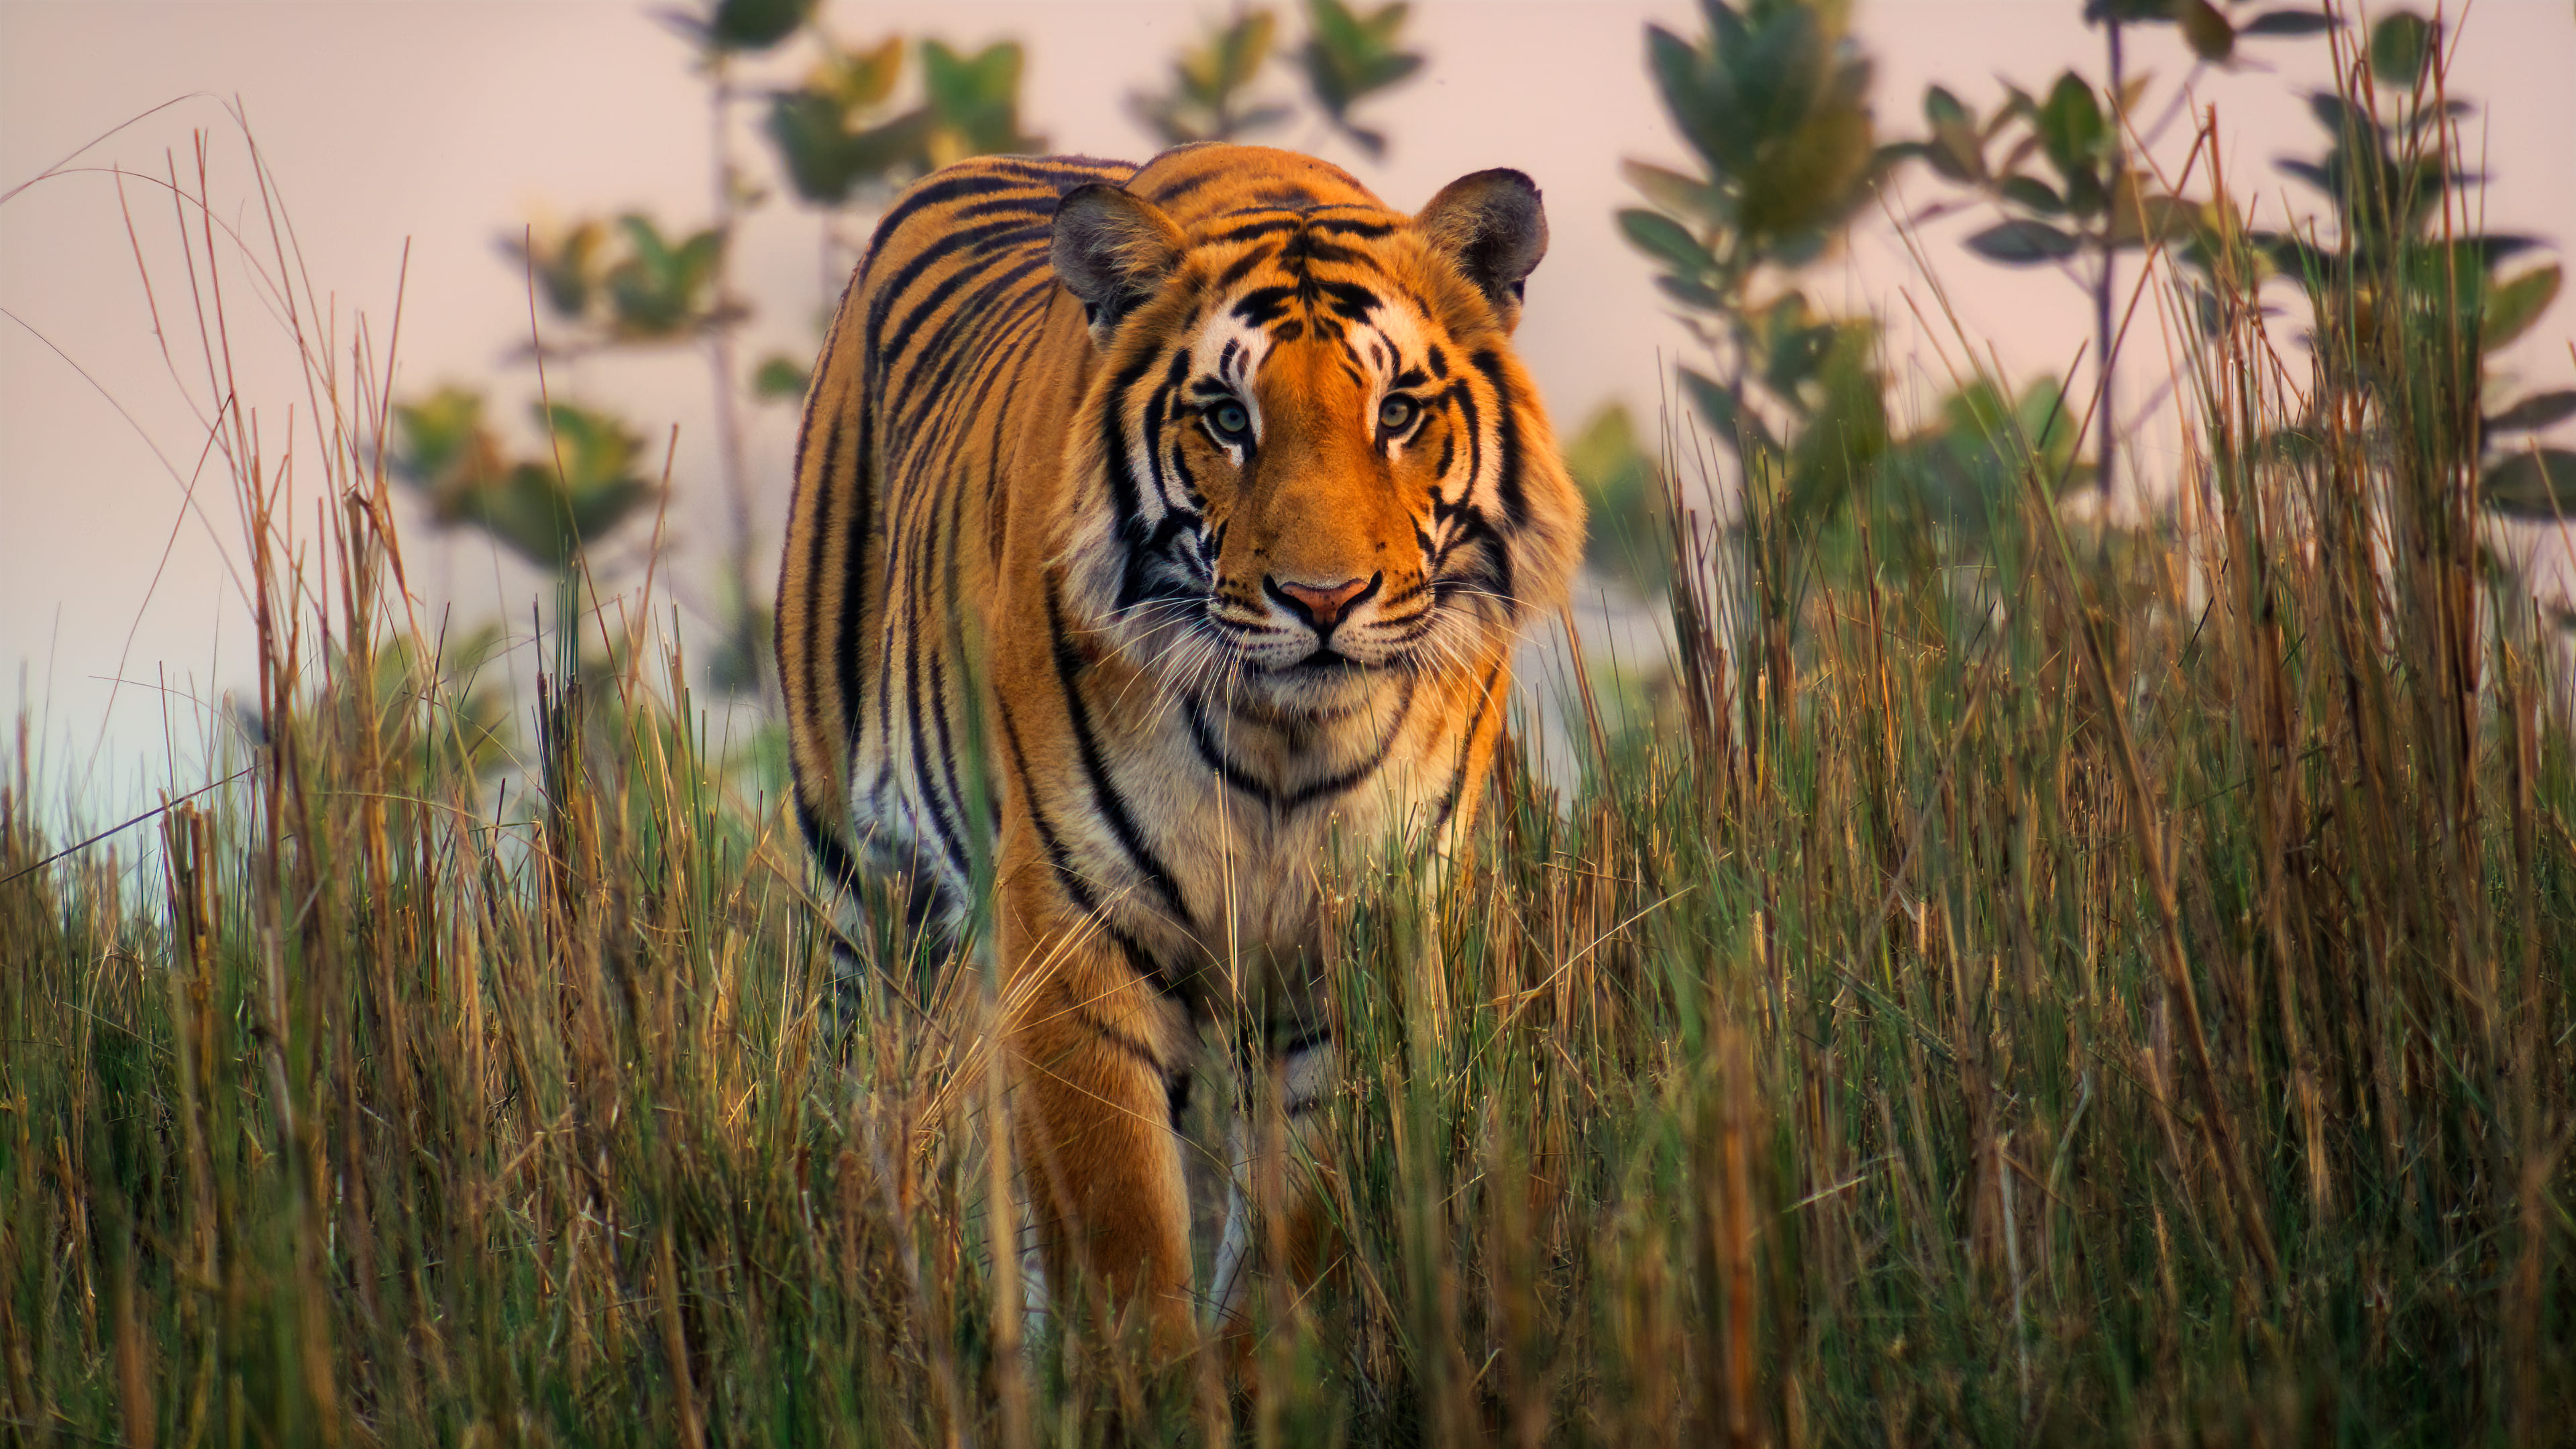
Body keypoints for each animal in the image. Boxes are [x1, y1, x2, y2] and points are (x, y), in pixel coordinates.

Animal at [773, 141, 1576, 1350]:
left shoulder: (1362, 933)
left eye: (1397, 410)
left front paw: (1269, 1369)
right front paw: (1142, 1373)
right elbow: (1120, 1238)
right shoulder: (1075, 924)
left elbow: (1297, 1232)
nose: (1323, 599)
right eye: (1228, 418)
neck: (1284, 739)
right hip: (868, 896)